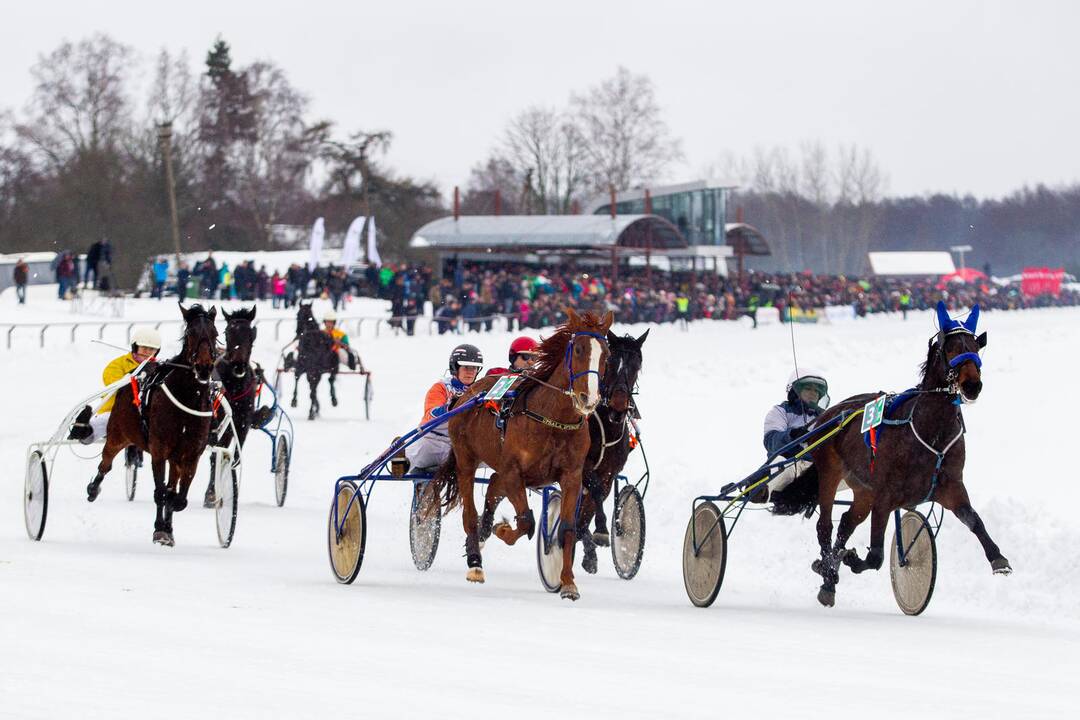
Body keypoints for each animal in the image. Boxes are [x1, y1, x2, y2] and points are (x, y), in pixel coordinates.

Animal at [86, 304, 219, 546]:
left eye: (215, 334)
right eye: (190, 333)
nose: (204, 368)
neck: (187, 397)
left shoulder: (191, 453)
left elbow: (178, 495)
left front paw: (169, 526)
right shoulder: (159, 450)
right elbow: (161, 492)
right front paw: (160, 529)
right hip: (118, 433)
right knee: (105, 463)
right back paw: (93, 488)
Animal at [432, 306, 617, 600]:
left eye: (606, 354)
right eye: (578, 349)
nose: (588, 399)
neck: (552, 420)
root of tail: (468, 393)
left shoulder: (572, 475)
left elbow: (567, 527)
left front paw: (567, 582)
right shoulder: (514, 472)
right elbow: (527, 521)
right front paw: (503, 529)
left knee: (493, 486)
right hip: (466, 459)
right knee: (470, 513)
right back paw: (475, 561)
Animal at [578, 330, 643, 574]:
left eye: (637, 365)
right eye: (610, 361)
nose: (619, 403)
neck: (606, 425)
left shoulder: (609, 473)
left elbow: (590, 506)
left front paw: (589, 549)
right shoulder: (583, 467)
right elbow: (594, 491)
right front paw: (601, 531)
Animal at [781, 302, 1006, 608]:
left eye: (975, 345)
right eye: (948, 347)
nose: (972, 385)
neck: (929, 430)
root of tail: (830, 415)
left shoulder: (951, 487)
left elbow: (975, 521)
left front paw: (998, 558)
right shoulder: (885, 498)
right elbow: (875, 556)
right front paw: (850, 558)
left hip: (862, 489)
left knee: (846, 523)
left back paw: (828, 574)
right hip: (830, 472)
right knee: (825, 526)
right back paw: (828, 572)